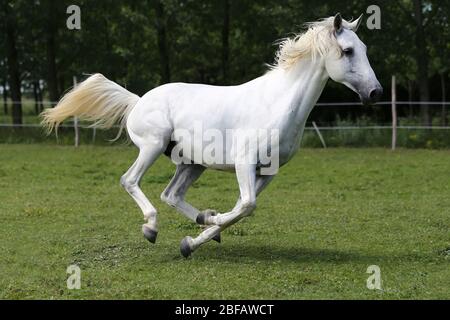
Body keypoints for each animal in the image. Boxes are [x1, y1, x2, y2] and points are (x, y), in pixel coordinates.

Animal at [42, 14, 382, 258]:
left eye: (365, 50)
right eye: (347, 51)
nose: (375, 92)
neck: (276, 104)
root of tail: (138, 100)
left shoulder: (268, 172)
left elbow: (241, 207)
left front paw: (194, 240)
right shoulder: (245, 162)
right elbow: (245, 206)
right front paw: (212, 224)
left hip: (193, 163)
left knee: (171, 194)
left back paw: (200, 220)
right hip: (152, 146)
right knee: (130, 181)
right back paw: (152, 228)